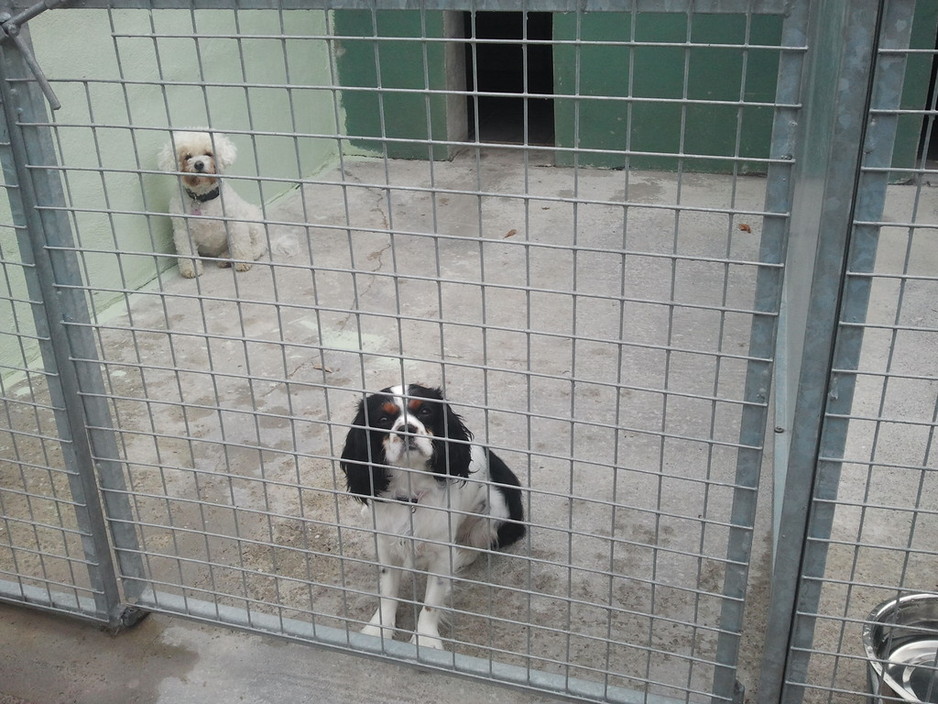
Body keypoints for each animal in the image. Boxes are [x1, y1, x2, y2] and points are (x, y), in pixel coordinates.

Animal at [161, 131, 266, 276]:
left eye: (208, 153)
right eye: (187, 156)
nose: (198, 164)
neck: (202, 197)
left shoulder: (235, 223)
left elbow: (240, 243)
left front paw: (243, 261)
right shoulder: (182, 230)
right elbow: (187, 250)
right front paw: (191, 269)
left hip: (252, 219)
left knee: (259, 244)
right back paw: (226, 258)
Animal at [338, 384, 528, 648]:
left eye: (425, 411)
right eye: (383, 419)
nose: (406, 429)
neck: (411, 490)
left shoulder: (440, 553)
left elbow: (430, 603)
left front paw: (426, 640)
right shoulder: (386, 545)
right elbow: (387, 593)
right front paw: (379, 630)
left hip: (497, 507)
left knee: (481, 543)